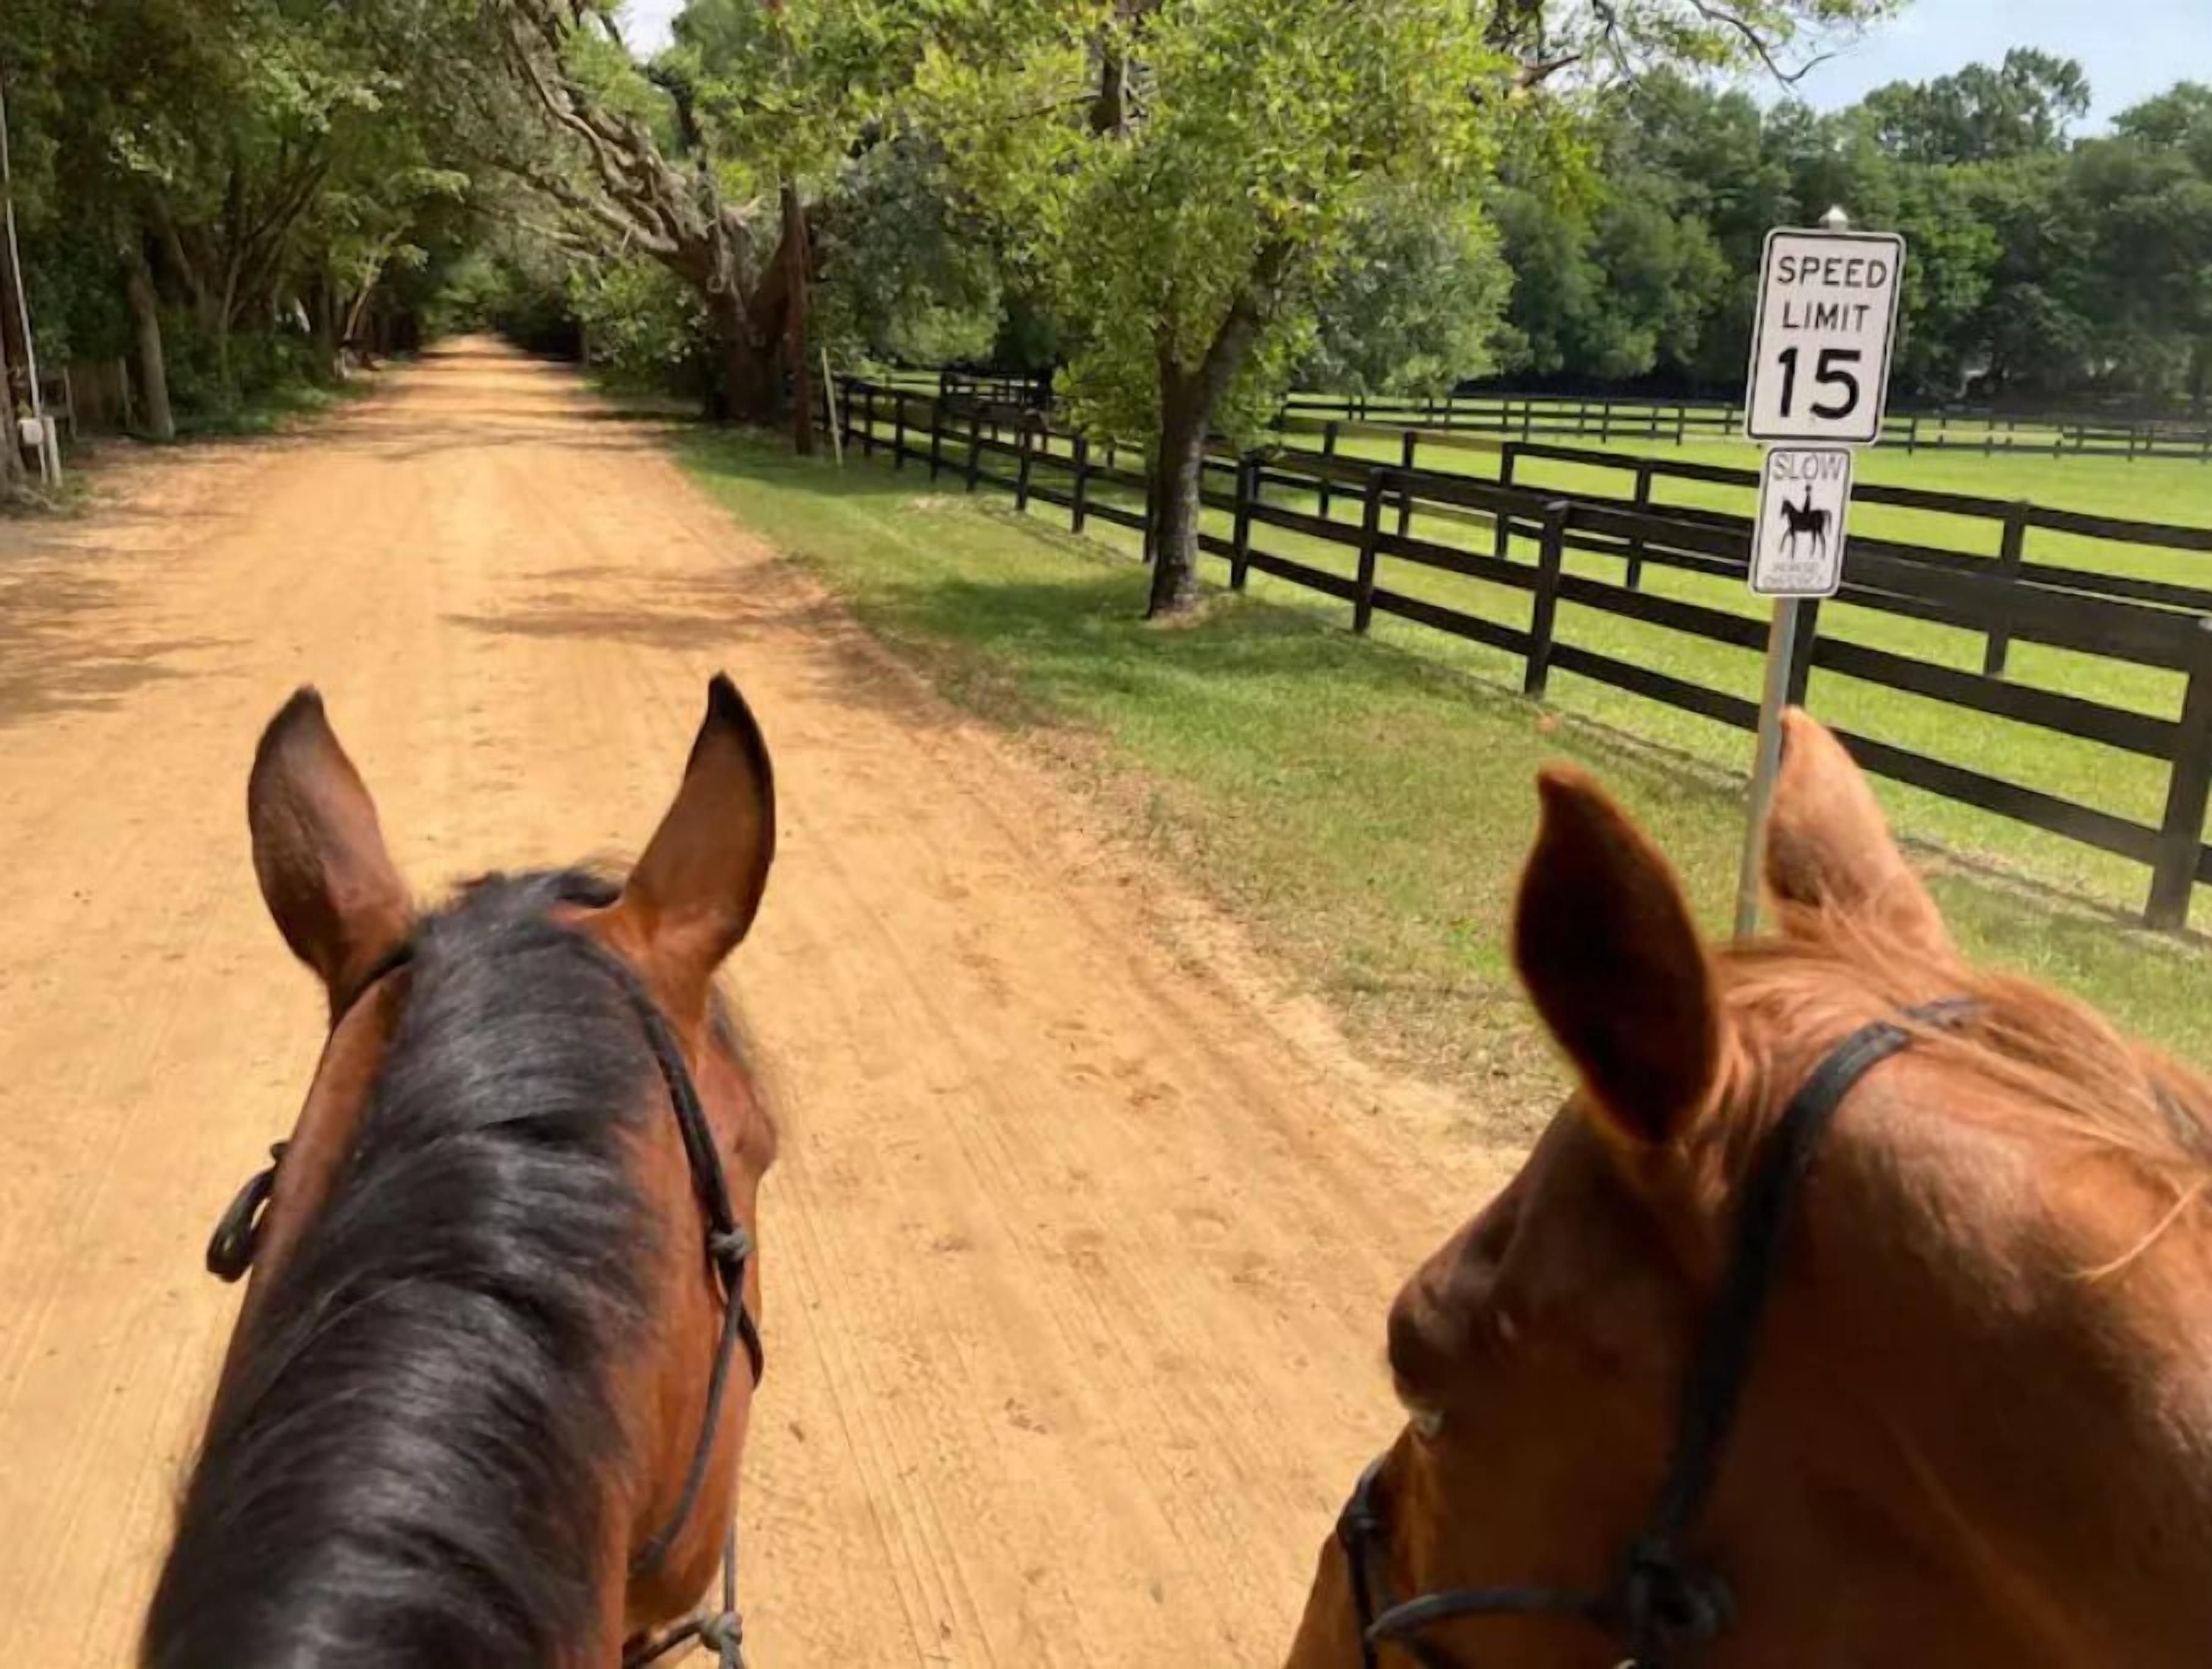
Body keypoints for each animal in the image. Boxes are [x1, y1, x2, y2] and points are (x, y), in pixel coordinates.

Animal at [1778, 486, 1830, 567]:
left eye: (1784, 506)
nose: (1781, 515)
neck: (1794, 515)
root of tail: (1821, 512)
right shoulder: (1792, 529)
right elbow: (1785, 535)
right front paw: (1782, 550)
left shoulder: (1793, 529)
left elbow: (1793, 539)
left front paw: (1792, 555)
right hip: (1815, 530)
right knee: (1816, 540)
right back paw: (1813, 555)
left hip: (1818, 529)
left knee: (1822, 540)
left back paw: (1822, 556)